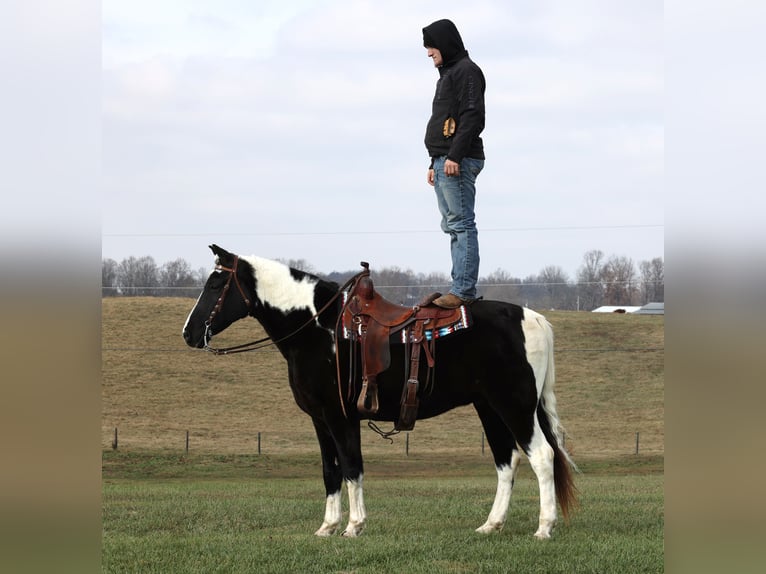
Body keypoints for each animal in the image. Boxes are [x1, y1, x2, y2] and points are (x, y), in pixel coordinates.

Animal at [183, 246, 576, 540]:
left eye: (216, 284)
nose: (189, 333)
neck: (319, 328)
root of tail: (533, 318)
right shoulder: (319, 420)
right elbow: (330, 470)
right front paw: (327, 527)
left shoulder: (340, 416)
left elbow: (352, 467)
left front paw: (354, 526)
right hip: (489, 407)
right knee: (506, 460)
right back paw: (491, 525)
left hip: (515, 406)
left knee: (542, 456)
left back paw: (544, 527)